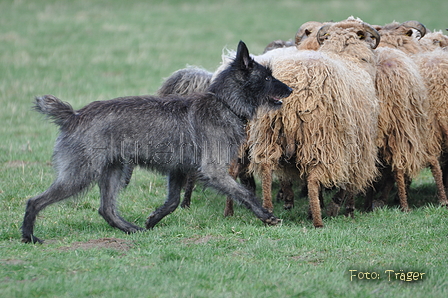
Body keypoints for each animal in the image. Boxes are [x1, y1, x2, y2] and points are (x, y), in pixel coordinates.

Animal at [22, 40, 292, 243]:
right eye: (267, 77)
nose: (290, 89)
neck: (224, 103)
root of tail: (74, 115)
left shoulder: (179, 169)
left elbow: (173, 202)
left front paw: (152, 220)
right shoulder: (213, 171)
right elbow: (245, 194)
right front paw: (266, 215)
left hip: (113, 171)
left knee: (106, 209)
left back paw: (132, 230)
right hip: (80, 175)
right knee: (35, 201)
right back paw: (28, 236)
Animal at [248, 17, 382, 227]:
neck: (346, 56)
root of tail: (295, 87)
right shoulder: (359, 144)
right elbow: (349, 180)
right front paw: (345, 208)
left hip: (268, 133)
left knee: (267, 167)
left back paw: (268, 213)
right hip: (320, 138)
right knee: (313, 178)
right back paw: (318, 221)